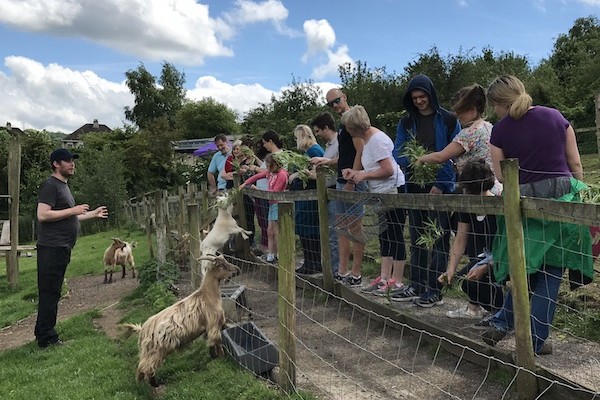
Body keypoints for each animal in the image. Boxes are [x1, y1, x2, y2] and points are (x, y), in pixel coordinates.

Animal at [120, 253, 240, 388]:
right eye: (221, 265)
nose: (237, 270)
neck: (207, 295)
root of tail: (142, 330)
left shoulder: (208, 327)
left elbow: (210, 343)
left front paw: (213, 357)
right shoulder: (214, 324)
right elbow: (217, 342)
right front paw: (221, 357)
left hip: (147, 351)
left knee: (142, 366)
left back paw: (143, 383)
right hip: (156, 350)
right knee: (147, 367)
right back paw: (155, 384)